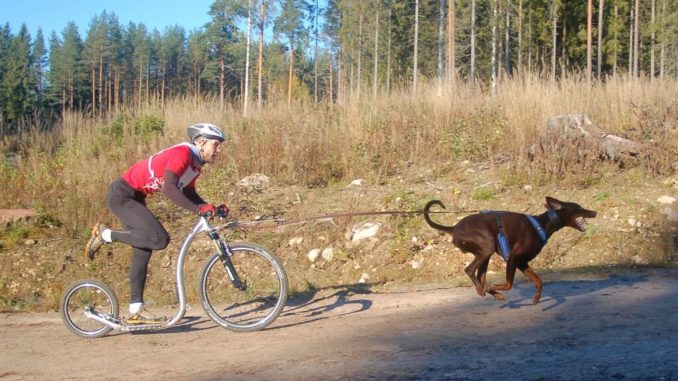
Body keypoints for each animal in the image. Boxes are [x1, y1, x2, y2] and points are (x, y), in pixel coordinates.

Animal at [428, 196, 596, 302]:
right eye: (578, 208)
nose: (594, 212)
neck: (541, 226)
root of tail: (454, 228)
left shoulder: (522, 262)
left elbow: (539, 281)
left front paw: (536, 297)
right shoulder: (513, 257)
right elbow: (509, 284)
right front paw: (494, 287)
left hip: (485, 253)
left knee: (481, 277)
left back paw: (492, 293)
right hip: (487, 246)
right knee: (469, 270)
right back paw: (487, 290)